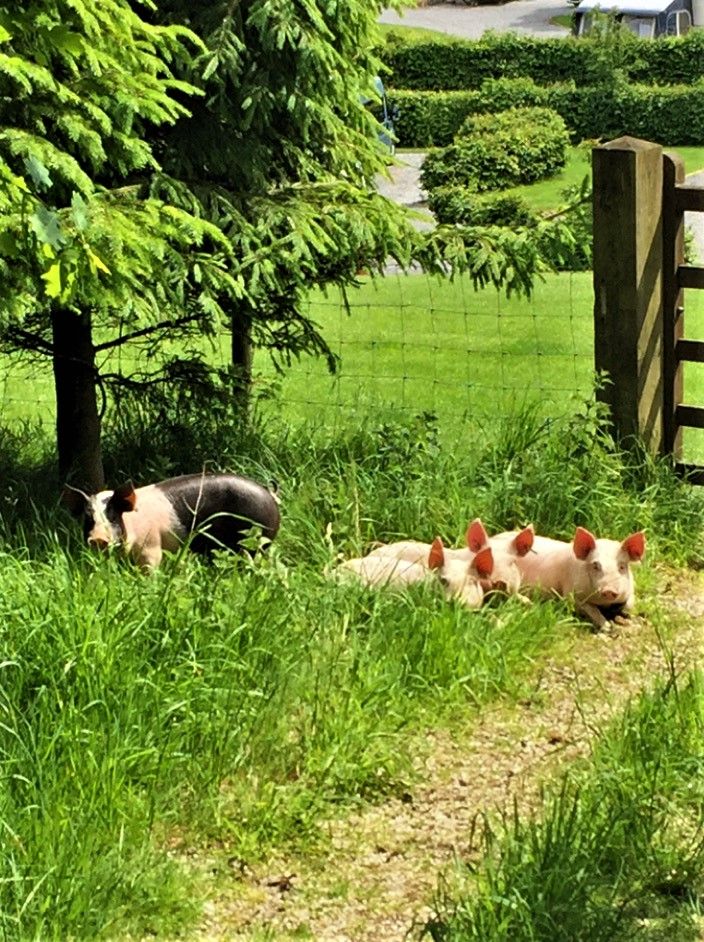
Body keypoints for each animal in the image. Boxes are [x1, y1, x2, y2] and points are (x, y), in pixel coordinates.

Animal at [64, 472, 280, 568]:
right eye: (88, 519)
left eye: (113, 517)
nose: (98, 538)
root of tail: (270, 495)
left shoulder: (151, 547)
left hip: (255, 542)